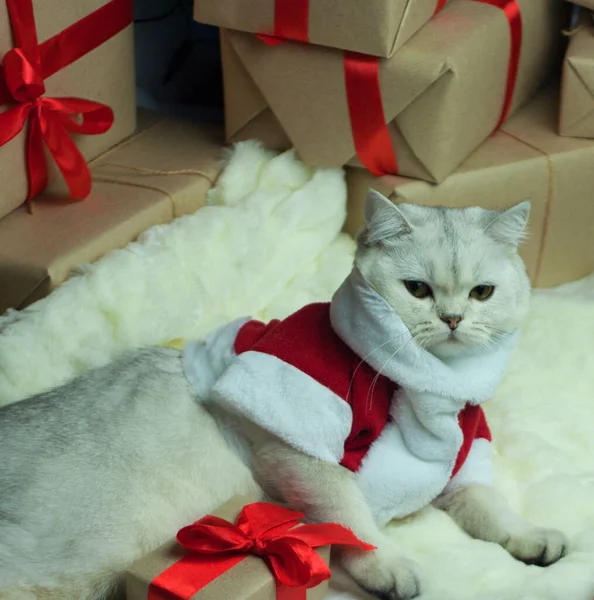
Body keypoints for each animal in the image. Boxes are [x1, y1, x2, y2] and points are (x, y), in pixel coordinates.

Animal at [0, 191, 564, 600]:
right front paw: (386, 564)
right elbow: (350, 517)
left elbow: (491, 507)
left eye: (482, 293)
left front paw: (530, 536)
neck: (432, 389)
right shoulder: (300, 453)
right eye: (417, 290)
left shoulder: (460, 467)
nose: (452, 319)